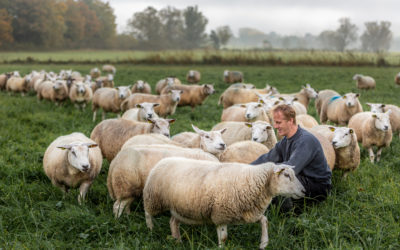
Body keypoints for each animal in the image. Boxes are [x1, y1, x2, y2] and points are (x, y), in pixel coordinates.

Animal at [143, 157, 304, 249]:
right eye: (286, 175)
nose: (303, 190)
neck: (252, 179)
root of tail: (162, 161)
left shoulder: (248, 212)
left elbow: (265, 220)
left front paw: (264, 243)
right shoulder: (221, 213)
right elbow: (224, 236)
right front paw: (221, 247)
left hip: (181, 207)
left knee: (173, 222)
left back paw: (177, 241)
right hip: (154, 197)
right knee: (148, 213)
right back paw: (150, 230)